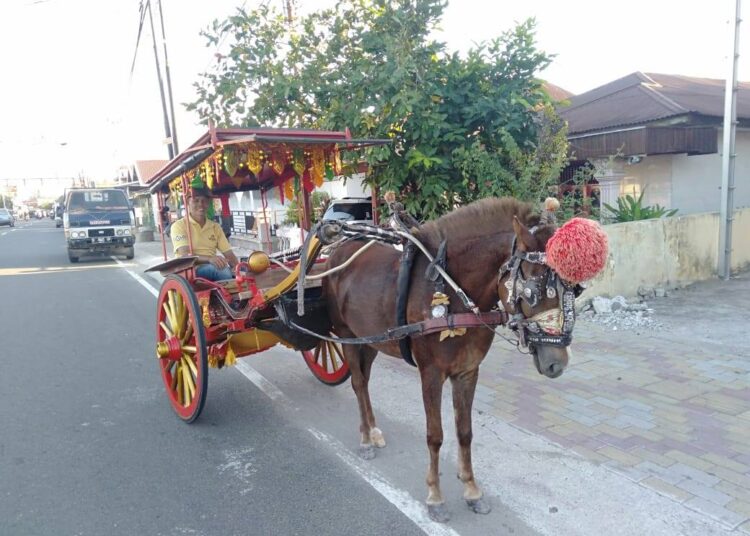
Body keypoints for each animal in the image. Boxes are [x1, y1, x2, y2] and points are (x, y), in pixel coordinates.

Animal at [324, 197, 576, 520]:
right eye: (532, 290)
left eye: (572, 289)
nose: (557, 362)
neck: (452, 295)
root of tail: (337, 251)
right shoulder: (431, 373)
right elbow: (435, 435)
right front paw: (435, 496)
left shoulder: (467, 371)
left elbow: (464, 432)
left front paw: (471, 490)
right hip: (346, 336)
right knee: (357, 383)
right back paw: (366, 439)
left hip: (368, 339)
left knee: (365, 383)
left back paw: (374, 431)